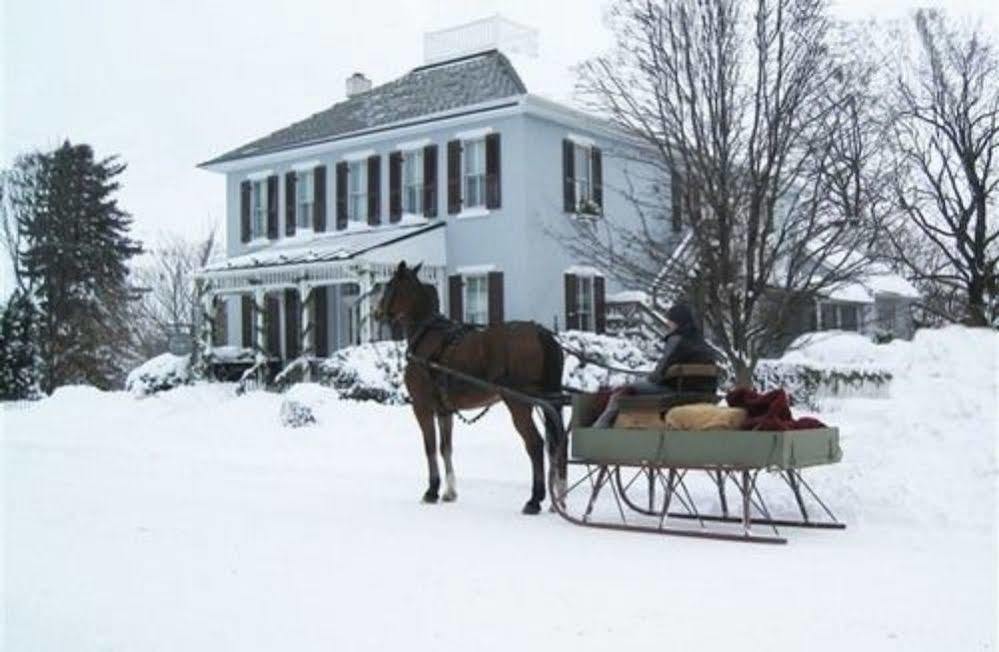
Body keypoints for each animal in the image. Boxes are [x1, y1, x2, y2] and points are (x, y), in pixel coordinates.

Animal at [374, 262, 568, 516]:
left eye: (389, 286)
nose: (376, 313)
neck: (428, 336)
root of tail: (540, 332)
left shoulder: (422, 407)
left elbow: (430, 447)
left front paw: (432, 490)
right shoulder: (444, 410)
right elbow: (446, 448)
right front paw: (449, 492)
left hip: (519, 403)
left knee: (535, 444)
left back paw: (535, 499)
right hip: (549, 402)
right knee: (558, 442)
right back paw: (559, 497)